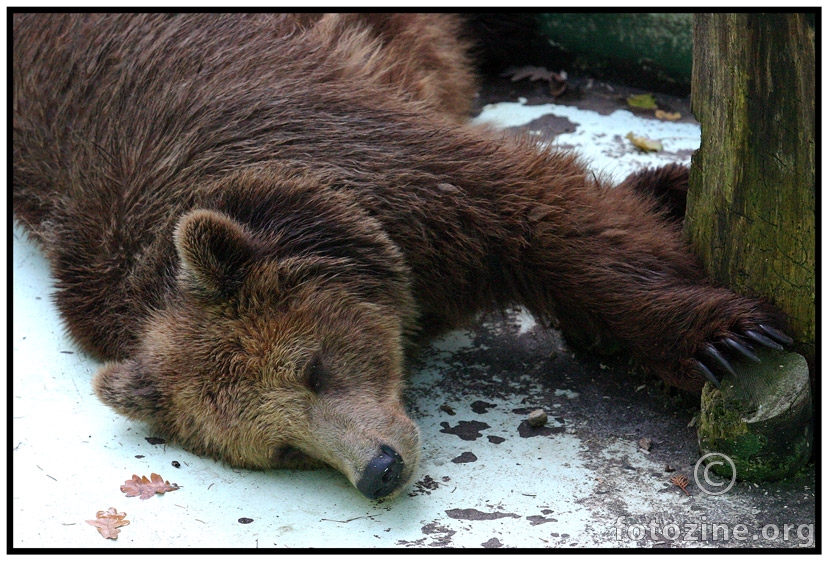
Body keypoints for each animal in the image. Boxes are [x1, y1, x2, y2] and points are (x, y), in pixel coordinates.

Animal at [12, 13, 788, 498]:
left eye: (314, 369)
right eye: (282, 448)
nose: (378, 468)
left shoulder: (365, 151)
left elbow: (555, 222)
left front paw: (728, 338)